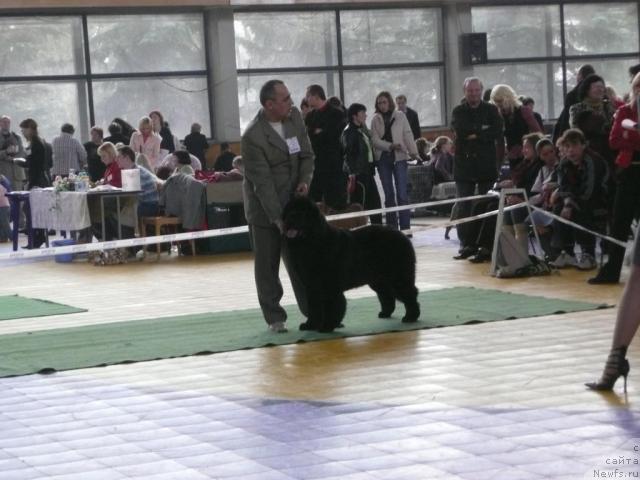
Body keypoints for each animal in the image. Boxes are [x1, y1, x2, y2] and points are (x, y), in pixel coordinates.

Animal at [284, 195, 422, 334]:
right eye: (289, 210)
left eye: (301, 212)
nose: (290, 217)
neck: (312, 242)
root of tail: (403, 236)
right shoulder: (312, 286)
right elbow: (313, 307)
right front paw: (310, 325)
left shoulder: (329, 286)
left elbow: (332, 307)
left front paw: (327, 326)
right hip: (378, 279)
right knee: (387, 294)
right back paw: (385, 313)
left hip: (398, 276)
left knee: (410, 293)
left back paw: (410, 317)